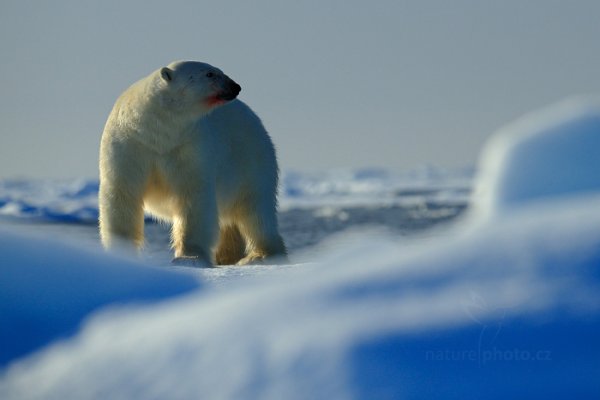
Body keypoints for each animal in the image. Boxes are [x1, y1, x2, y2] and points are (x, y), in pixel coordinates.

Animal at [98, 61, 286, 268]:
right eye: (210, 74)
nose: (235, 86)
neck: (158, 131)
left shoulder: (190, 146)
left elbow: (193, 196)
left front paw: (190, 257)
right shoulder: (130, 144)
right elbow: (123, 193)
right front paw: (120, 254)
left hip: (251, 160)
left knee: (255, 209)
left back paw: (261, 255)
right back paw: (226, 256)